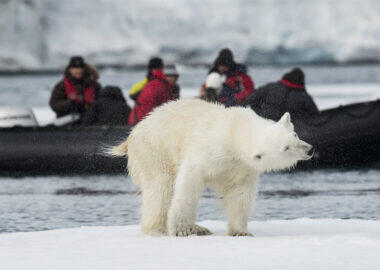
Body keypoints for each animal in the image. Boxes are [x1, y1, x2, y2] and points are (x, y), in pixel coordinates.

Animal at [110, 99, 312, 236]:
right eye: (285, 148)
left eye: (294, 135)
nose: (309, 150)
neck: (235, 131)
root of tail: (131, 135)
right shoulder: (209, 151)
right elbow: (188, 184)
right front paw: (181, 229)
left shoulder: (242, 167)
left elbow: (241, 194)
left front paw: (240, 231)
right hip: (154, 151)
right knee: (161, 188)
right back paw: (159, 228)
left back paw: (200, 228)